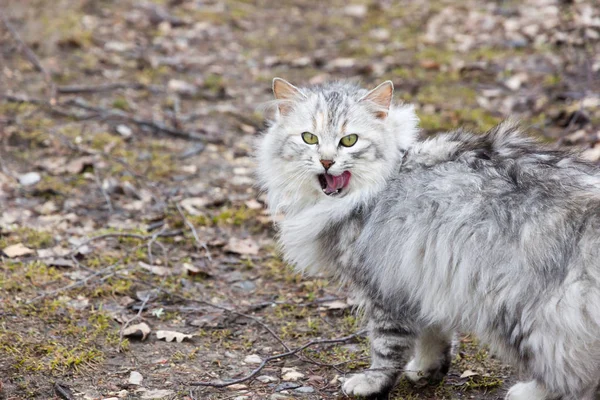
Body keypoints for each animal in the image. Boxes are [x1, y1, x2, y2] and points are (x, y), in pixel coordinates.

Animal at [256, 78, 600, 400]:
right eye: (309, 138)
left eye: (349, 140)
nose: (327, 161)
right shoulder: (421, 280)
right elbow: (433, 334)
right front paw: (427, 370)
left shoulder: (384, 286)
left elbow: (387, 346)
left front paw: (372, 382)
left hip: (522, 311)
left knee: (568, 374)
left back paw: (530, 391)